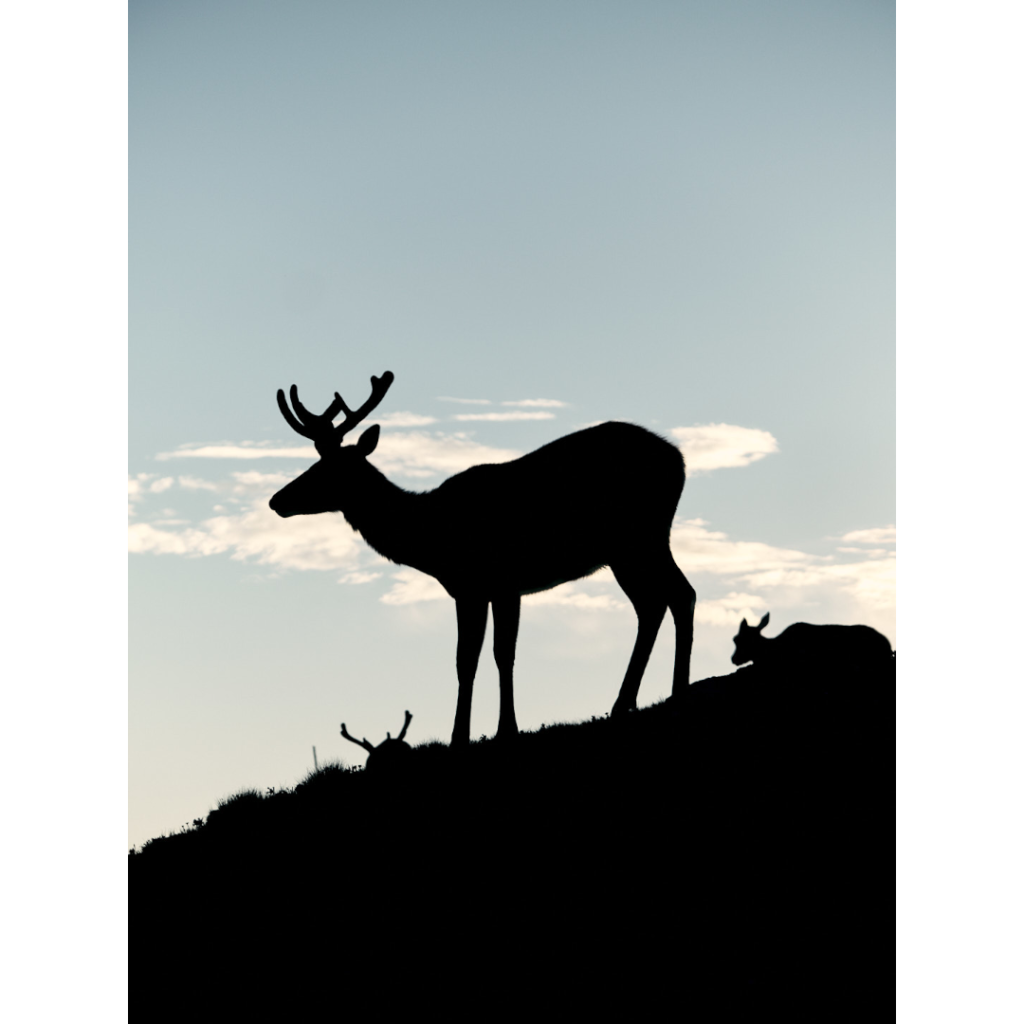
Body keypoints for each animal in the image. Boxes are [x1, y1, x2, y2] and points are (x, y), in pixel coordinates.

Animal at [269, 371, 696, 747]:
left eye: (328, 469)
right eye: (313, 462)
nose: (276, 500)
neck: (433, 539)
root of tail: (679, 459)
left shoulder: (496, 582)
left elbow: (493, 655)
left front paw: (494, 731)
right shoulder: (477, 589)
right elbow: (475, 658)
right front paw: (475, 732)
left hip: (640, 536)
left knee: (679, 595)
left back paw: (675, 693)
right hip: (630, 548)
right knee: (654, 605)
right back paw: (627, 703)